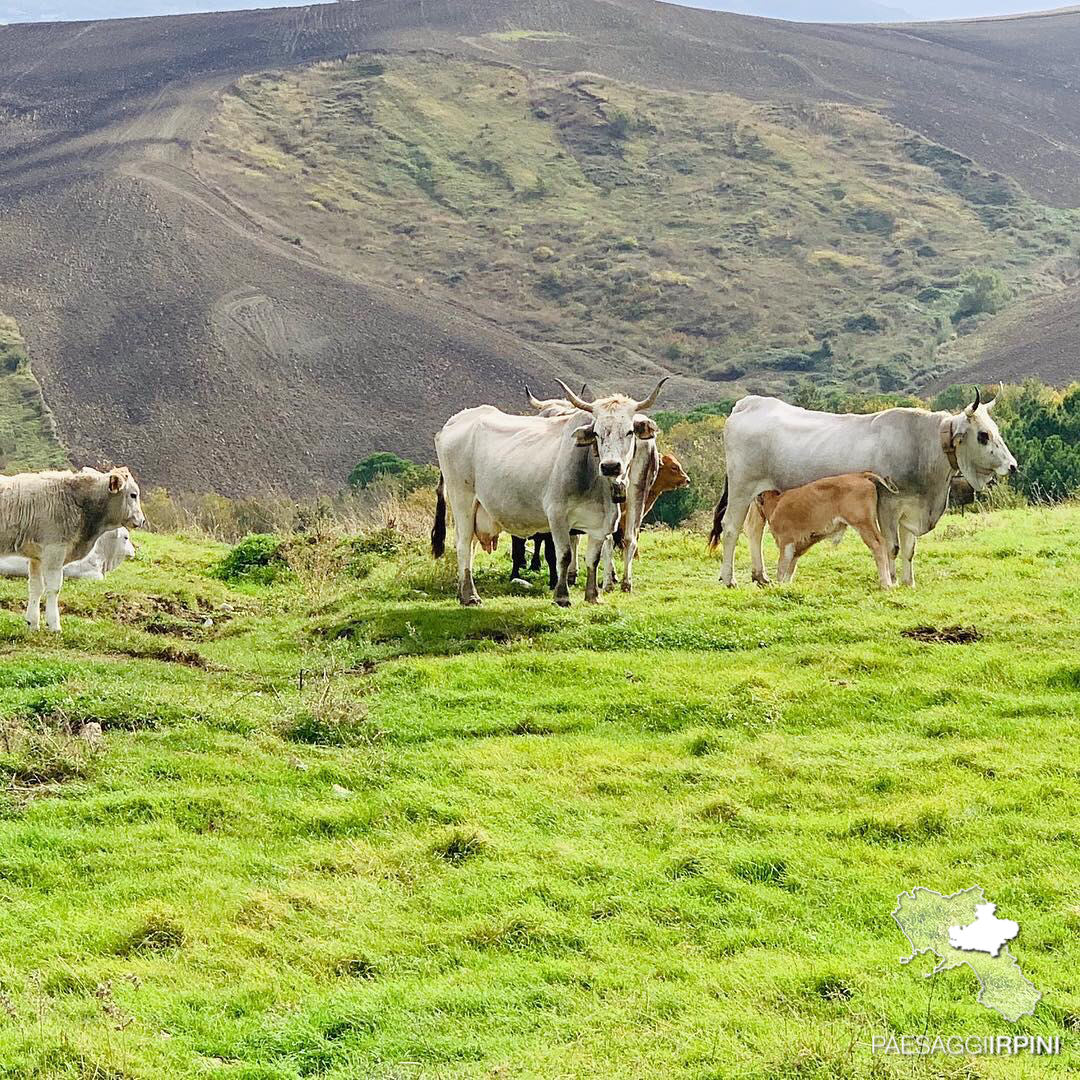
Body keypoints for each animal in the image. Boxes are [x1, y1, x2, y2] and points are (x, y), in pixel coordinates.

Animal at [429, 378, 665, 609]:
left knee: (470, 546)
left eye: (629, 431)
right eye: (597, 433)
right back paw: (470, 595)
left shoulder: (602, 524)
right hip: (462, 500)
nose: (610, 466)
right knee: (463, 545)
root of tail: (453, 422)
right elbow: (564, 555)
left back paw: (462, 592)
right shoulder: (557, 516)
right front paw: (561, 596)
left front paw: (593, 595)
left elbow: (593, 559)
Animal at [756, 475, 898, 591]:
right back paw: (890, 583)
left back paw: (885, 584)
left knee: (878, 544)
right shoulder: (798, 547)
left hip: (863, 524)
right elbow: (790, 568)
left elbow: (782, 567)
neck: (776, 504)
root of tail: (860, 475)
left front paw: (778, 586)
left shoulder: (786, 542)